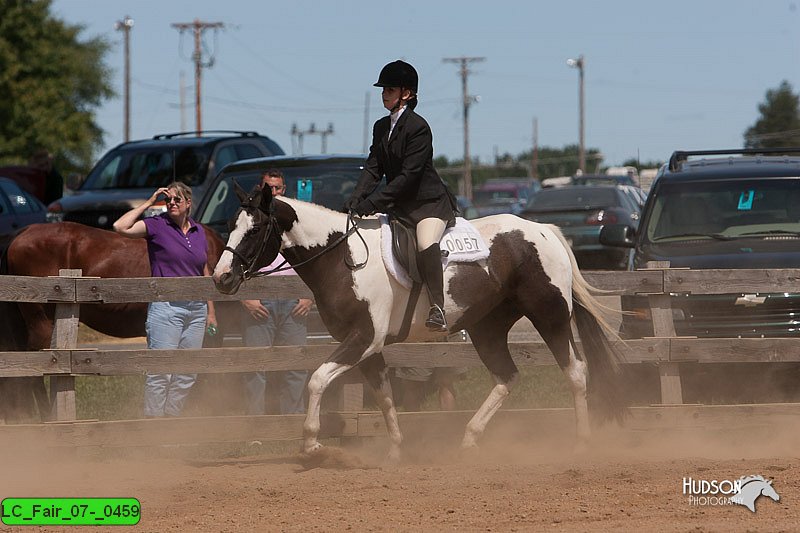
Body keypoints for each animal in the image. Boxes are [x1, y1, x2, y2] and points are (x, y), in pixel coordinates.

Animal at [212, 183, 624, 458]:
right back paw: (470, 438)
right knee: (507, 376)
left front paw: (312, 443)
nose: (221, 278)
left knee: (575, 372)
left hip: (549, 316)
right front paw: (396, 450)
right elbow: (384, 396)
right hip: (486, 327)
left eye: (253, 229)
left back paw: (581, 442)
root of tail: (543, 231)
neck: (342, 257)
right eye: (230, 225)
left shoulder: (363, 338)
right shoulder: (368, 347)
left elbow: (317, 380)